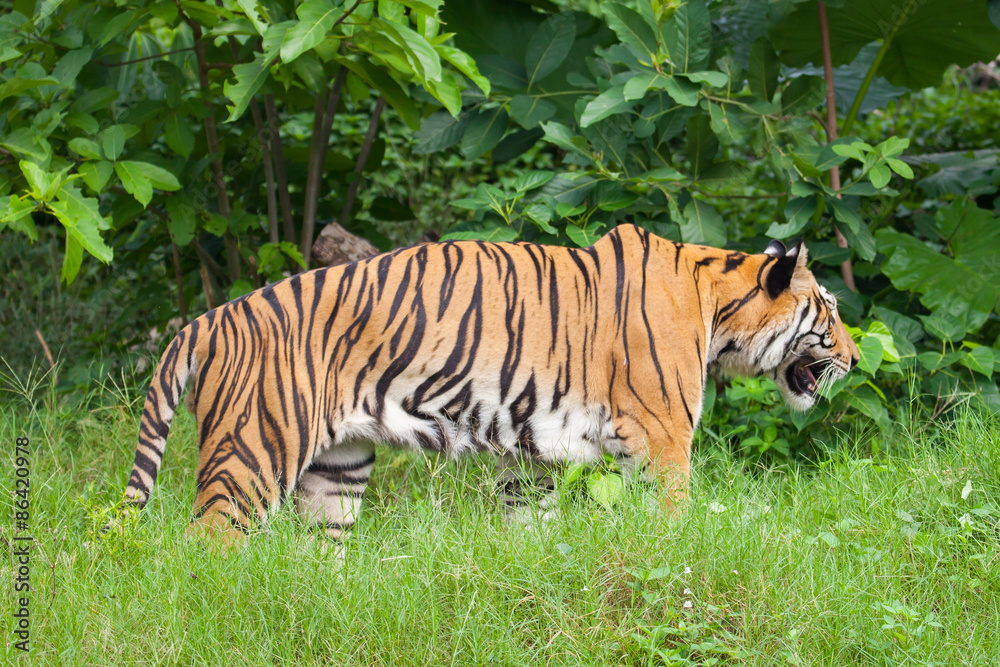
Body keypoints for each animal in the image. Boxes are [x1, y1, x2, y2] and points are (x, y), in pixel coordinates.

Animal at [118, 224, 859, 542]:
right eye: (829, 309)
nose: (856, 359)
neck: (716, 305)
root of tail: (212, 317)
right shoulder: (662, 435)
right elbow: (675, 518)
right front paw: (680, 560)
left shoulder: (533, 452)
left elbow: (530, 523)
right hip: (252, 453)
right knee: (207, 545)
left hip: (338, 469)